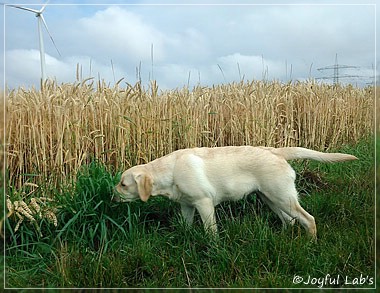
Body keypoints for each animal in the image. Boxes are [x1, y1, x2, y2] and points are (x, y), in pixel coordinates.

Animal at [113, 146, 356, 237]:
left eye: (123, 184)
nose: (112, 195)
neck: (170, 171)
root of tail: (276, 151)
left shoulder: (204, 203)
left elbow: (211, 232)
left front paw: (211, 246)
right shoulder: (186, 205)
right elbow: (186, 225)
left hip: (282, 197)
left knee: (308, 219)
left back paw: (310, 242)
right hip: (270, 198)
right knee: (290, 220)